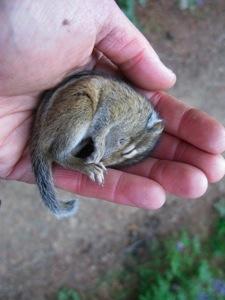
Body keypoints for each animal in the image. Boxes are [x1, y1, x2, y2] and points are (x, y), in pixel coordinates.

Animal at [30, 71, 164, 219]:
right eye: (122, 142)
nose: (103, 161)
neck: (137, 113)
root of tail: (39, 136)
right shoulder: (113, 106)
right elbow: (101, 126)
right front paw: (99, 146)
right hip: (80, 109)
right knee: (58, 154)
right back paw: (87, 167)